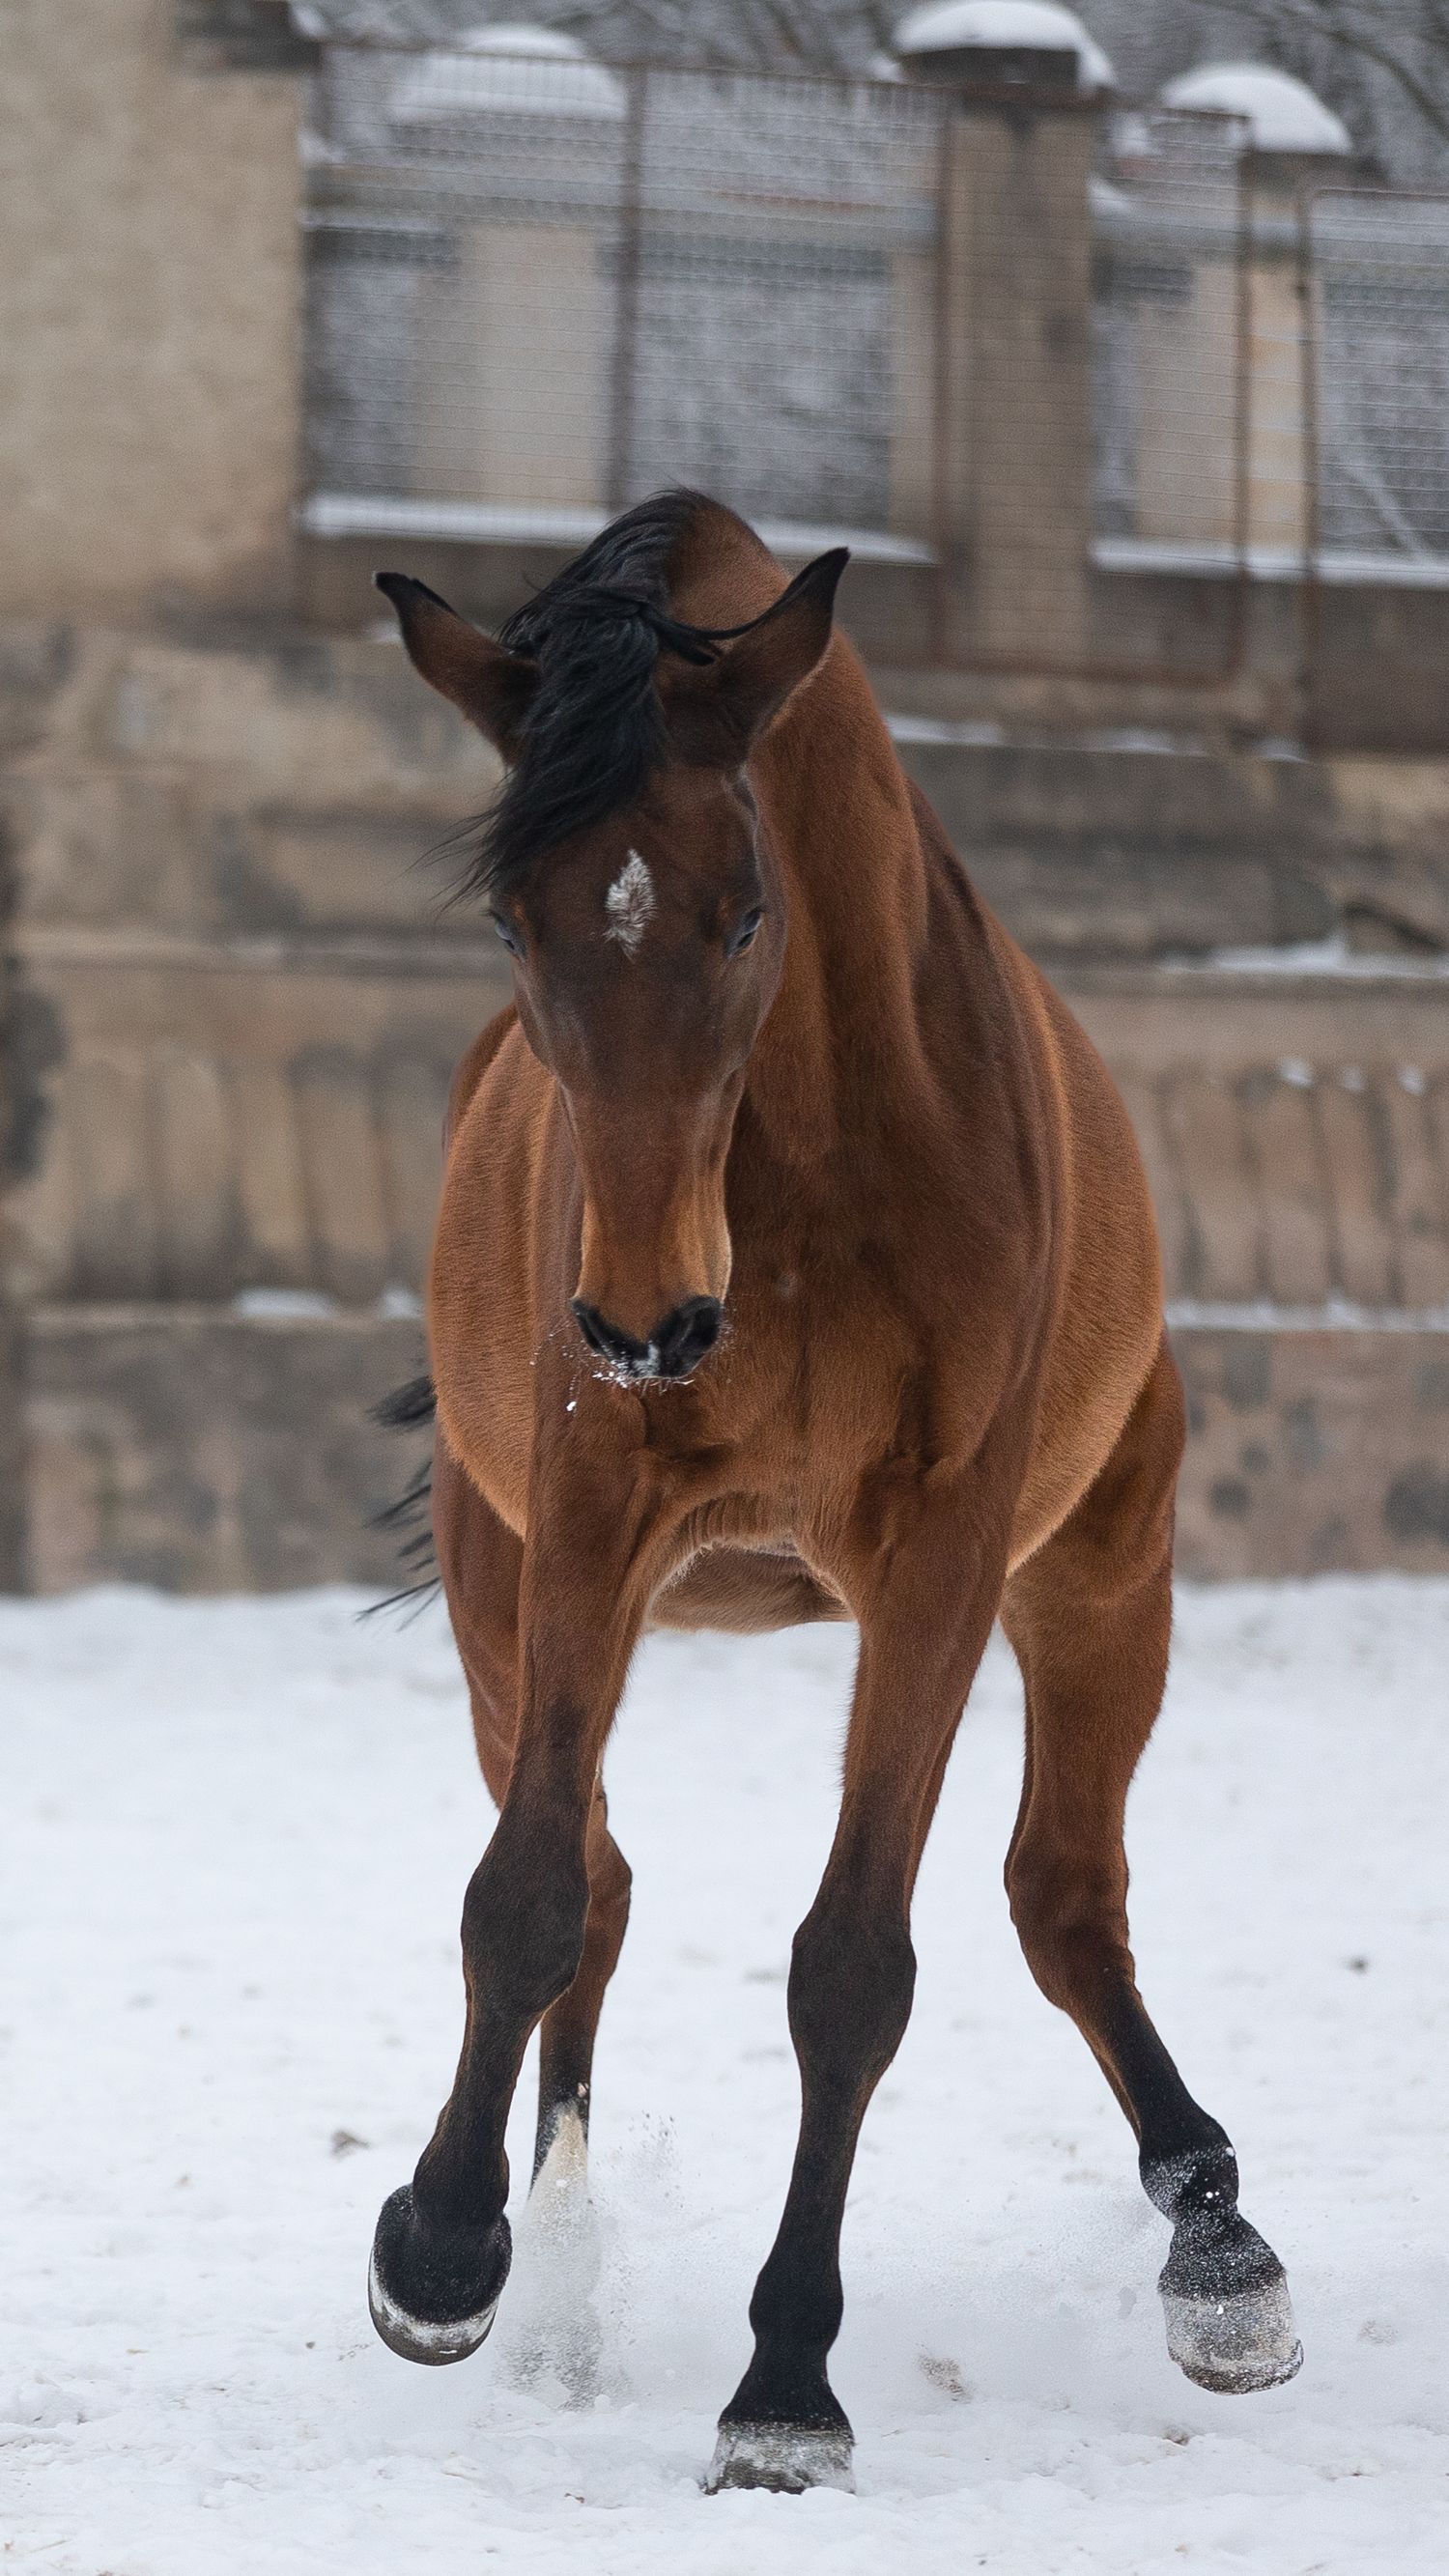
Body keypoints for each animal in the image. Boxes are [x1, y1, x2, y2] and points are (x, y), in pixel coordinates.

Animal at [365, 489, 1300, 2494]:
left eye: (742, 911)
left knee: (1065, 1894)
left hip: (1102, 1574)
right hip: (500, 1584)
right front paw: (442, 2252)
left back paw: (1219, 2248)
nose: (648, 1318)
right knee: (602, 1882)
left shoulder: (940, 1552)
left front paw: (785, 2383)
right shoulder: (588, 1507)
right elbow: (529, 1893)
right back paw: (551, 2271)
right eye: (512, 915)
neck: (806, 1168)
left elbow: (853, 1963)